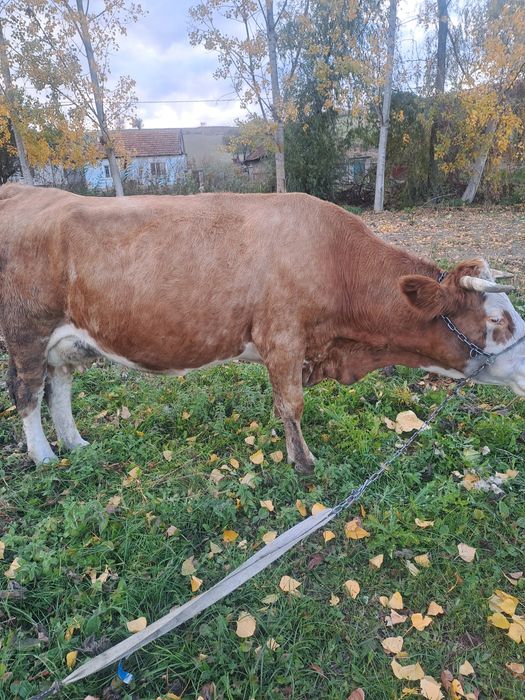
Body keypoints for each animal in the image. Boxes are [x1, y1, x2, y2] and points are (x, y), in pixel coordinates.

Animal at [0, 184, 524, 473]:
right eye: (495, 319)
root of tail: (25, 191)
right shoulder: (283, 339)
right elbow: (291, 404)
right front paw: (304, 464)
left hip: (66, 340)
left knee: (59, 386)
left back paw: (75, 443)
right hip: (26, 333)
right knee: (28, 393)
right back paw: (45, 456)